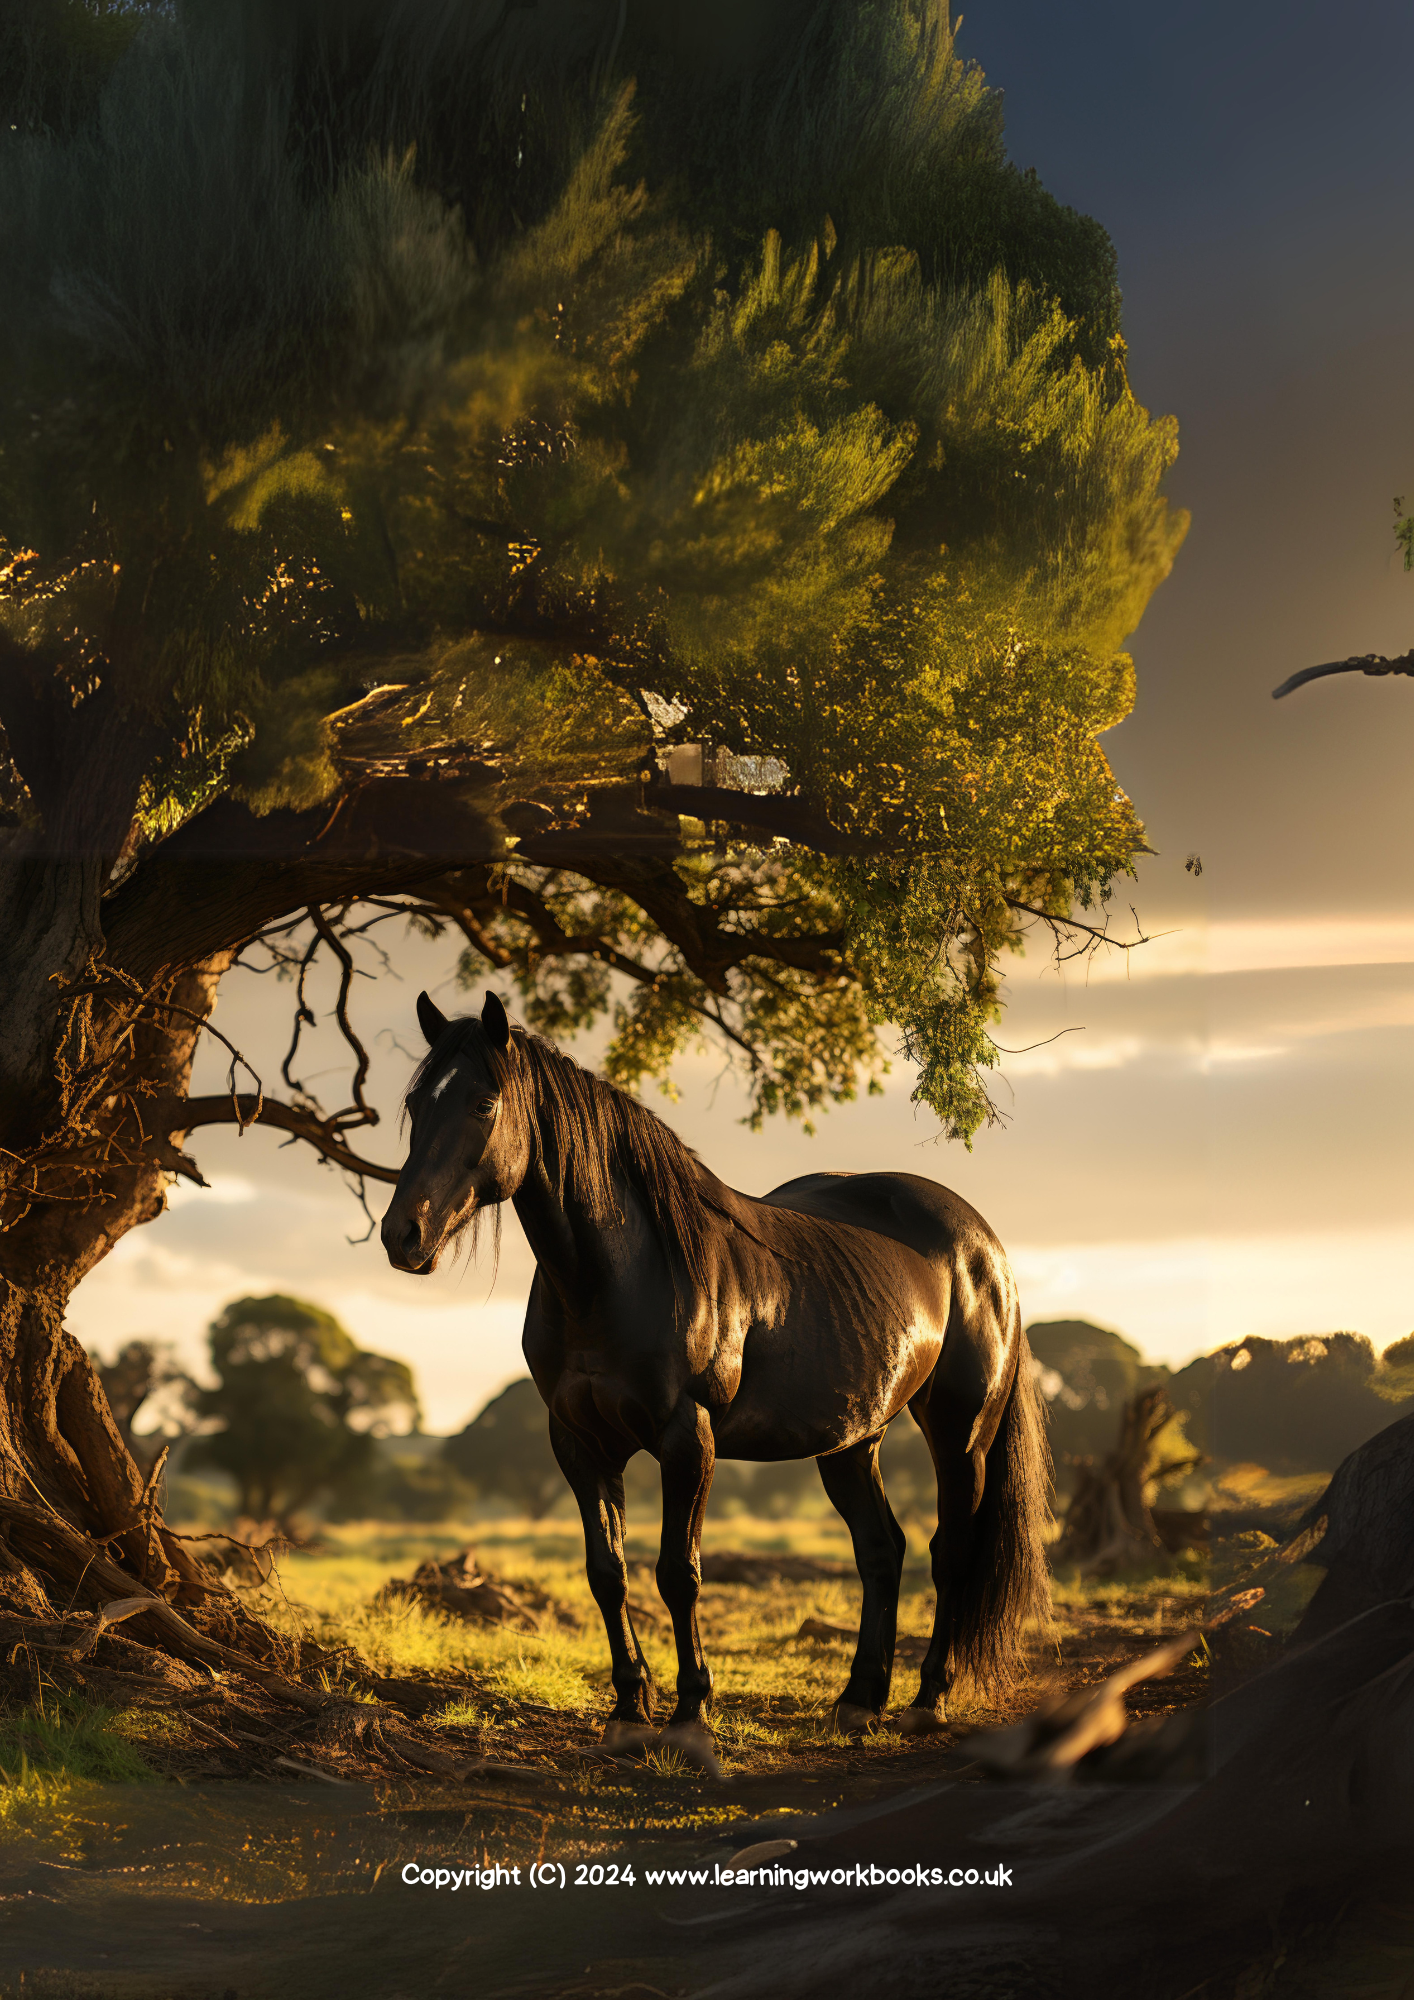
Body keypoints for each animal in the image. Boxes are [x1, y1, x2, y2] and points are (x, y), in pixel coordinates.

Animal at [381, 990, 1050, 1747]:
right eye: (416, 1104)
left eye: (484, 1103)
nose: (403, 1235)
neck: (620, 1274)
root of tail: (983, 1244)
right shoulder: (579, 1444)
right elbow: (606, 1572)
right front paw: (628, 1710)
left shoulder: (686, 1438)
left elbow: (679, 1572)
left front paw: (691, 1713)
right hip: (852, 1441)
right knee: (882, 1550)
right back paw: (859, 1699)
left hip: (961, 1433)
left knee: (951, 1552)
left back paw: (928, 1699)